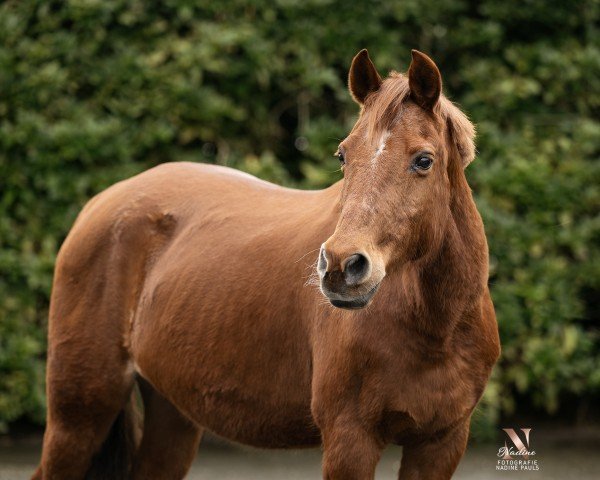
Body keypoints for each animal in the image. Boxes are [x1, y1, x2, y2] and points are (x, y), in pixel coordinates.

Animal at [34, 50, 502, 478]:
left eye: (423, 160)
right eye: (343, 156)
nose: (340, 267)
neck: (434, 328)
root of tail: (102, 202)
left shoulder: (441, 443)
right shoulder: (350, 440)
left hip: (171, 413)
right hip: (79, 414)